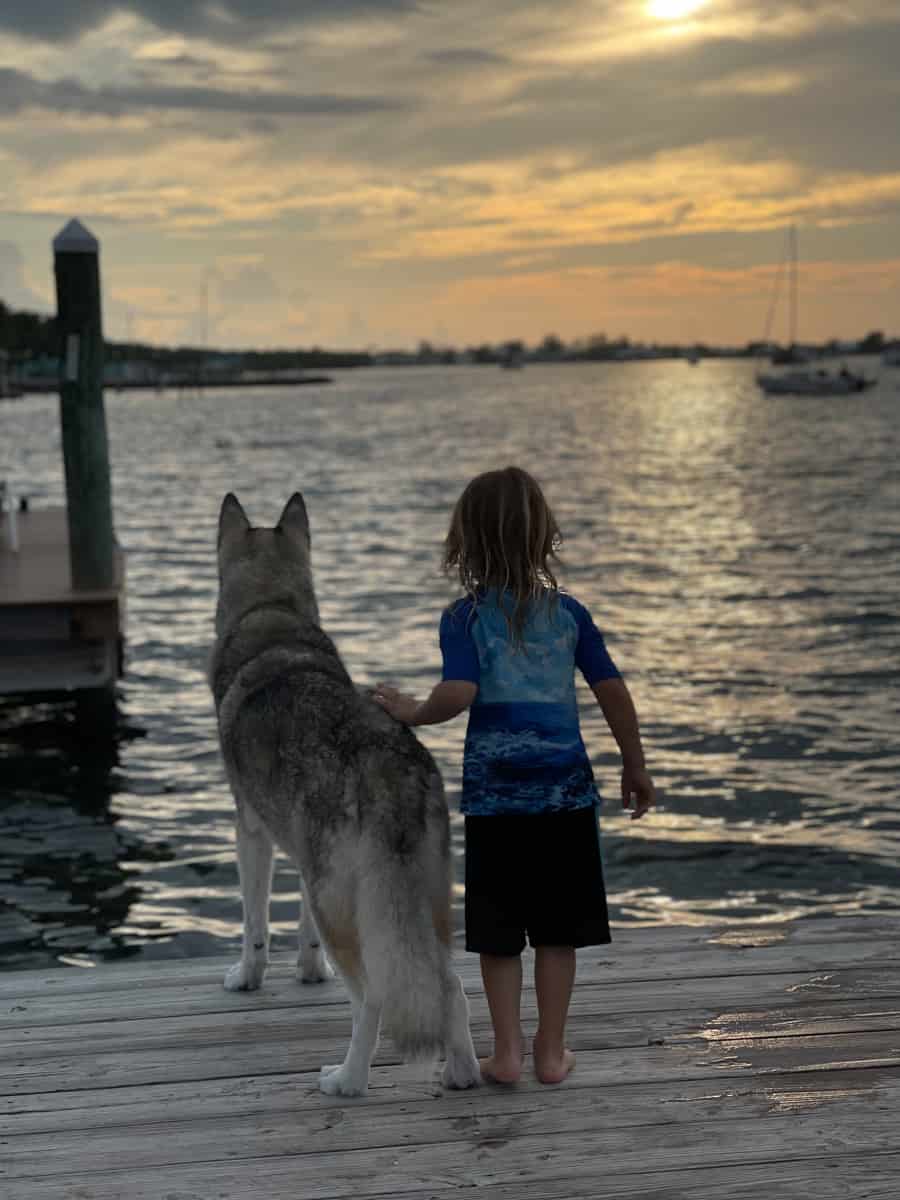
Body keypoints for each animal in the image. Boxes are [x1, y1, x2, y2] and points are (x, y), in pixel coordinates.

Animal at [208, 489, 482, 1099]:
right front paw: (311, 973)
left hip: (344, 904)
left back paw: (346, 1081)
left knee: (374, 1001)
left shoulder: (251, 832)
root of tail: (387, 770)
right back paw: (462, 1073)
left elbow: (255, 925)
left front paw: (247, 978)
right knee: (449, 985)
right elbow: (304, 937)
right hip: (418, 904)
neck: (273, 617)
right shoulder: (304, 863)